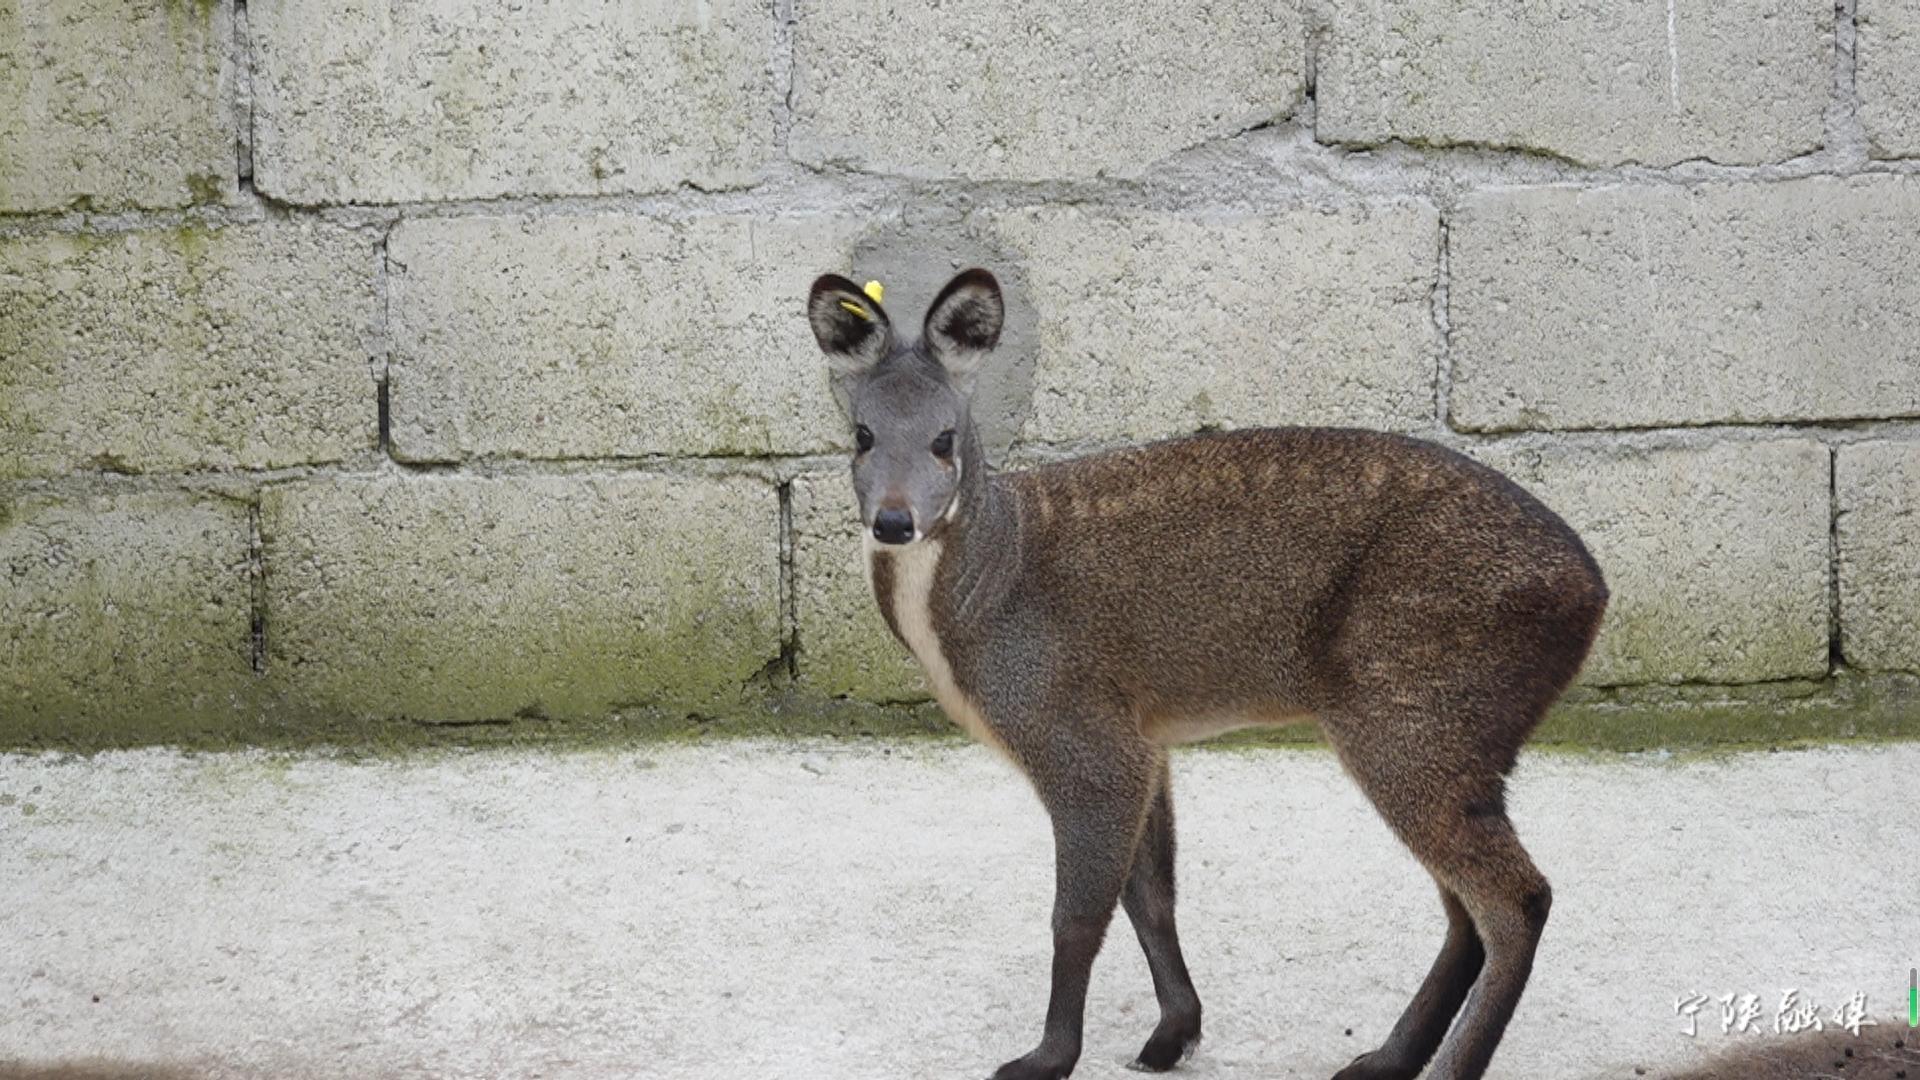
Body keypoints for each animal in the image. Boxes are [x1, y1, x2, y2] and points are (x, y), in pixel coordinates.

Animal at [802, 263, 1612, 1076]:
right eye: (861, 435)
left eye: (944, 440)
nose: (895, 520)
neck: (987, 591)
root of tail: (1594, 594)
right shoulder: (1146, 738)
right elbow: (1152, 897)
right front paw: (1173, 1034)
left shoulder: (1080, 734)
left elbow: (1077, 915)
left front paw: (1047, 1057)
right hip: (1454, 739)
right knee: (1465, 907)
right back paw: (1383, 1060)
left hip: (1414, 714)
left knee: (1515, 900)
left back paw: (1440, 1062)